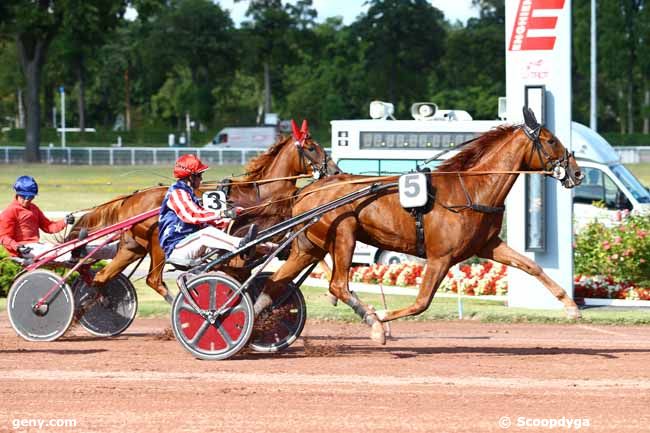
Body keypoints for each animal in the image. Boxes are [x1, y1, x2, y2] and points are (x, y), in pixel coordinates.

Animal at [67, 123, 340, 302]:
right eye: (312, 147)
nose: (336, 171)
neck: (265, 193)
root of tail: (130, 199)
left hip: (131, 247)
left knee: (103, 276)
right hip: (157, 245)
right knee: (153, 280)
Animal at [256, 109, 584, 344]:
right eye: (551, 140)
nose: (578, 172)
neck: (471, 190)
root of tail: (305, 191)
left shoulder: (489, 246)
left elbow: (532, 266)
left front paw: (571, 306)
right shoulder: (440, 258)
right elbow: (422, 302)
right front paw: (381, 319)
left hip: (308, 247)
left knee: (274, 284)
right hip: (344, 235)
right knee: (337, 285)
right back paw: (372, 321)